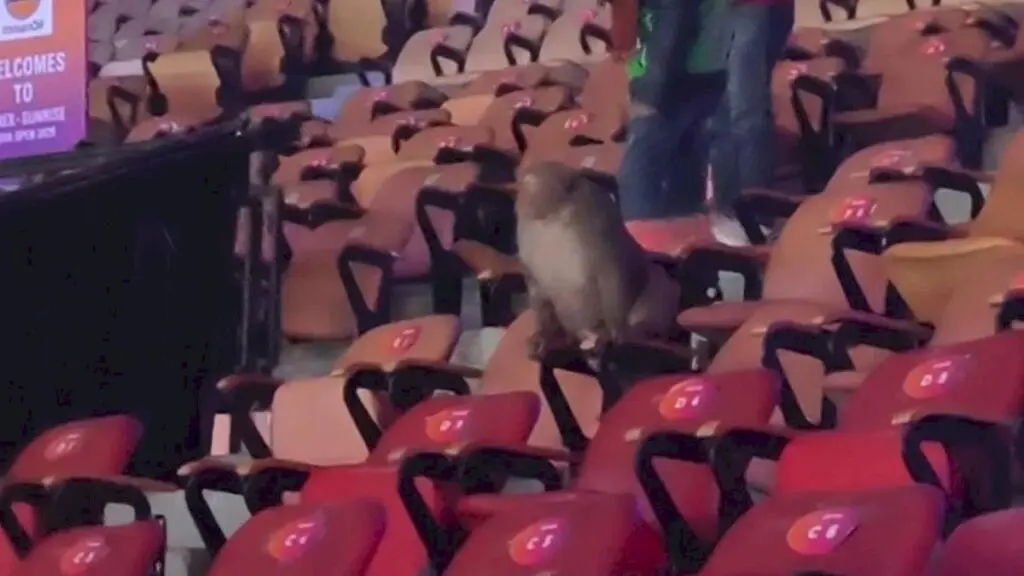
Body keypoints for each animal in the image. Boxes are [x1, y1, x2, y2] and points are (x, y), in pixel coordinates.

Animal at [515, 161, 679, 366]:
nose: (524, 194)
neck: (551, 220)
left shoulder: (599, 232)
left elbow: (613, 276)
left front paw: (614, 335)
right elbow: (539, 292)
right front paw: (543, 337)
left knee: (656, 284)